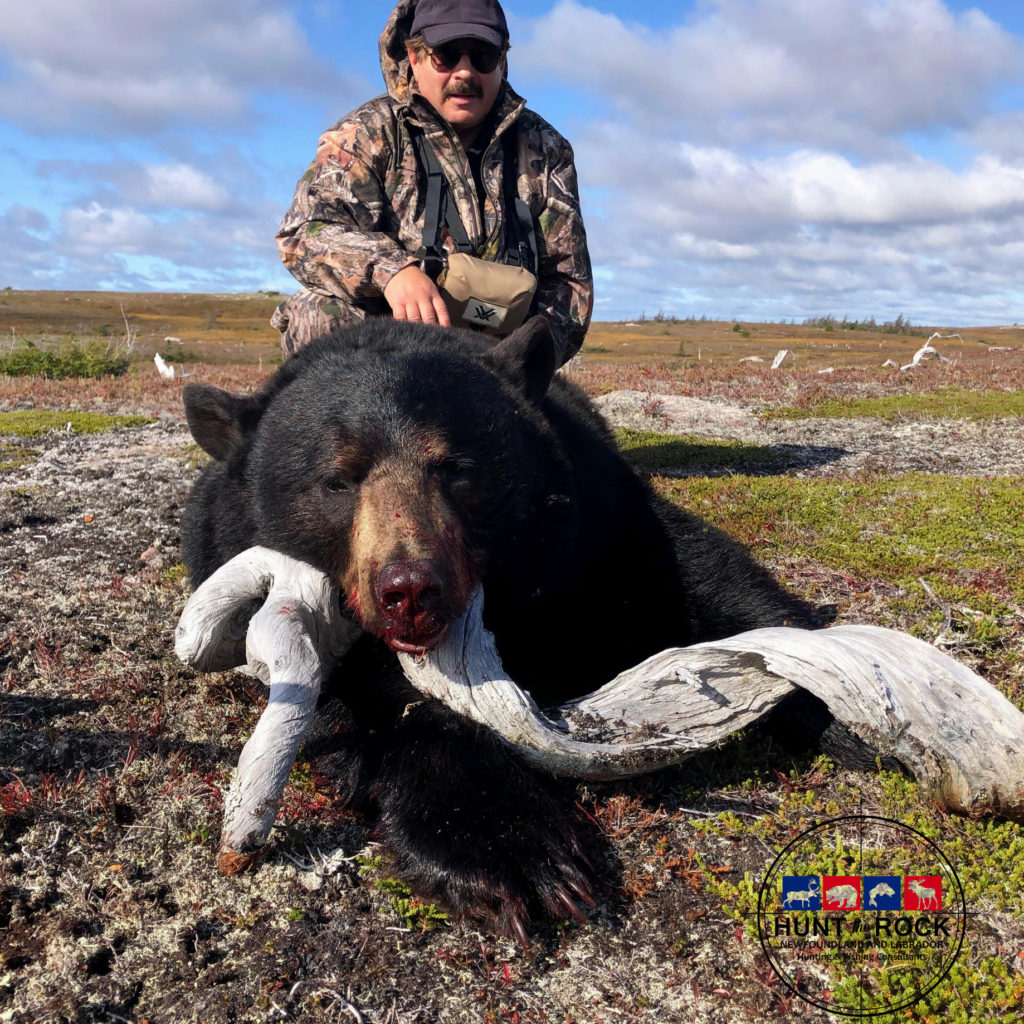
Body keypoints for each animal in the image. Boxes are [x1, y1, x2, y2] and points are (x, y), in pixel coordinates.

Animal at [178, 315, 815, 937]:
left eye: (456, 467)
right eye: (339, 479)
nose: (410, 590)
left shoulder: (604, 521)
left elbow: (714, 582)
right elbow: (375, 705)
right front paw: (507, 849)